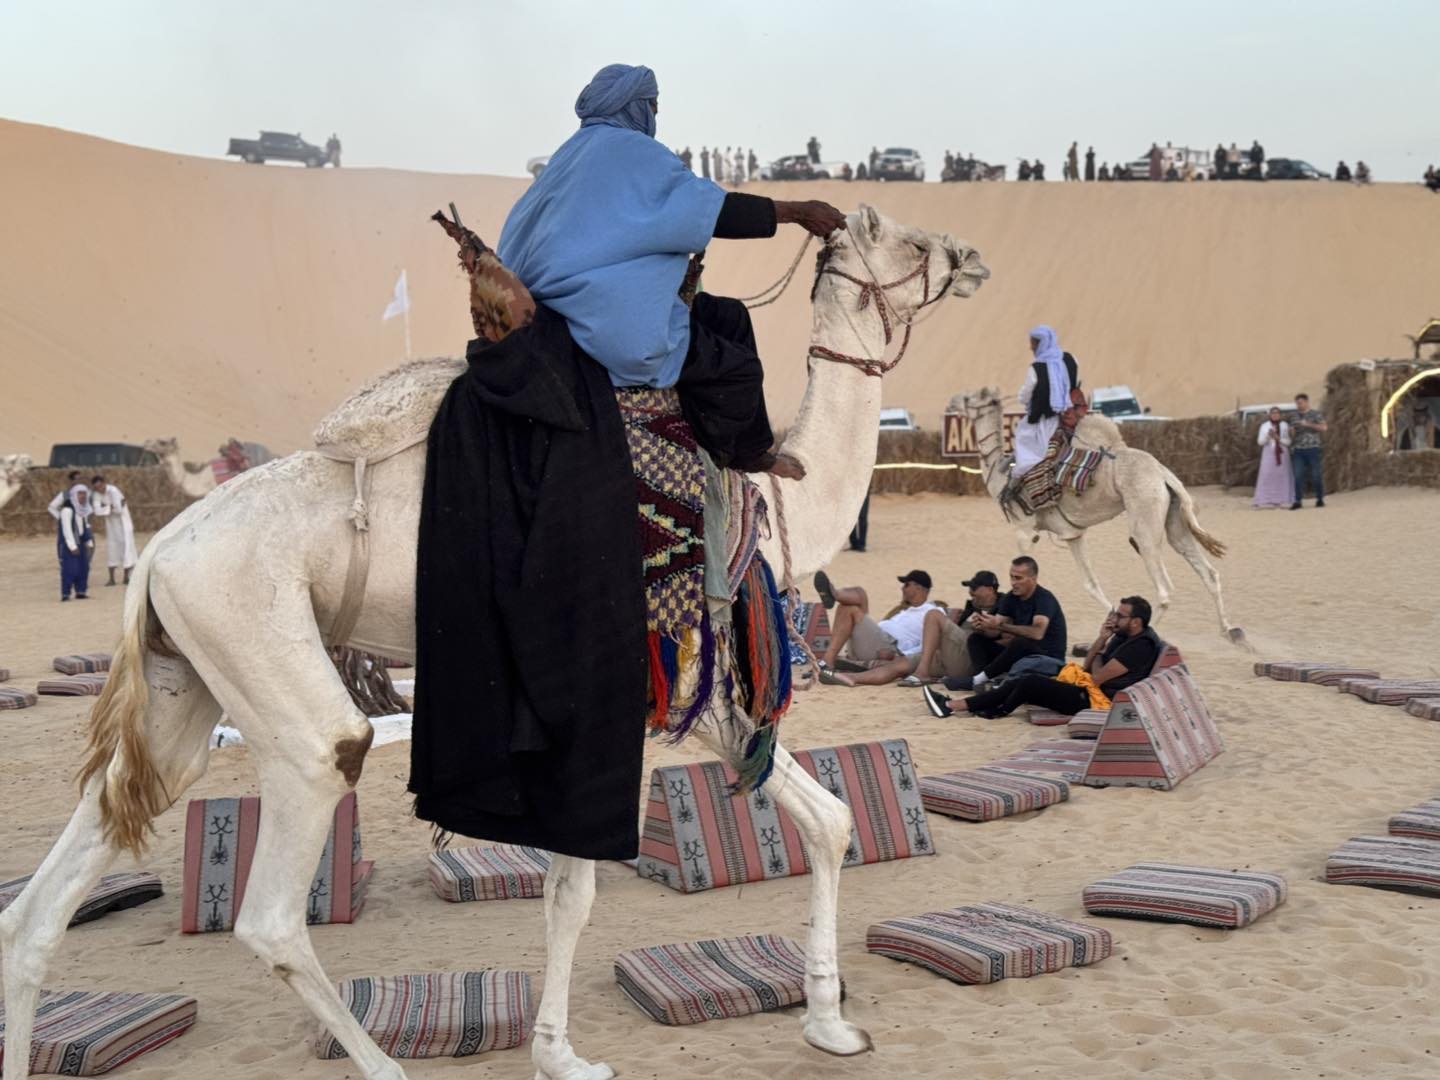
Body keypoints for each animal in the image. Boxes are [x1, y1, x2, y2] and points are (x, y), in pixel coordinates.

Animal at [0, 204, 990, 1080]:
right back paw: (384, 1066)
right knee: (282, 883)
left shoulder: (690, 695)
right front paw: (563, 1056)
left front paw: (831, 1026)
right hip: (267, 660)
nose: (973, 258)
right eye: (912, 242)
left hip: (185, 673)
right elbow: (576, 890)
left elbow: (826, 821)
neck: (778, 494)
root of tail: (162, 551)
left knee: (56, 892)